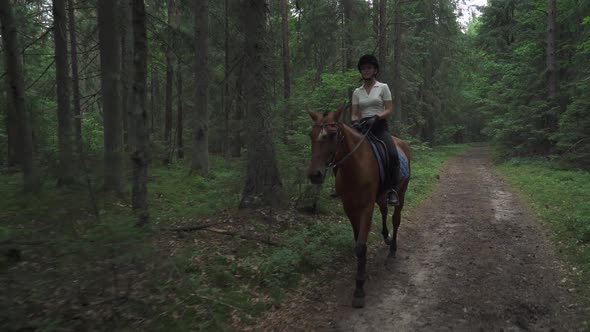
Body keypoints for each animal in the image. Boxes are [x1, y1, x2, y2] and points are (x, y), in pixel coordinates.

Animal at [308, 106, 414, 308]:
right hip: (380, 196)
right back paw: (386, 237)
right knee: (384, 210)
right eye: (310, 134)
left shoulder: (366, 207)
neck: (356, 165)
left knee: (396, 219)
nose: (314, 175)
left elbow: (360, 246)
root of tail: (401, 142)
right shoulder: (349, 207)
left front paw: (359, 289)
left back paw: (392, 250)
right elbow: (358, 240)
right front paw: (360, 271)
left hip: (401, 193)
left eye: (333, 134)